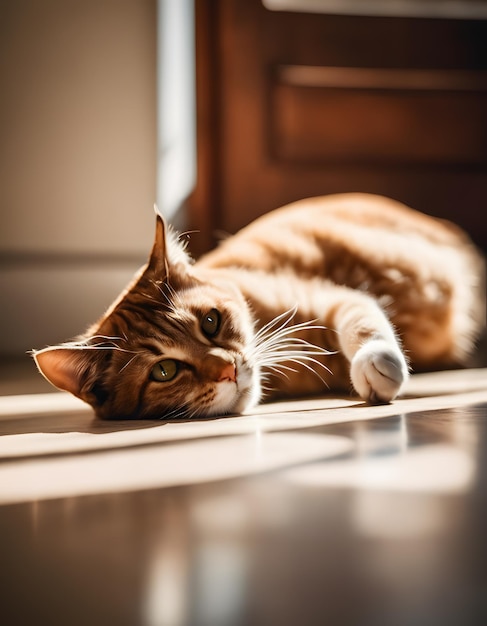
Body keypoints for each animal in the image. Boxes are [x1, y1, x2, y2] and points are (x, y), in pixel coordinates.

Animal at [32, 193, 486, 420]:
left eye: (210, 322)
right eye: (164, 370)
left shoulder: (331, 296)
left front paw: (377, 361)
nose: (228, 370)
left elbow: (362, 320)